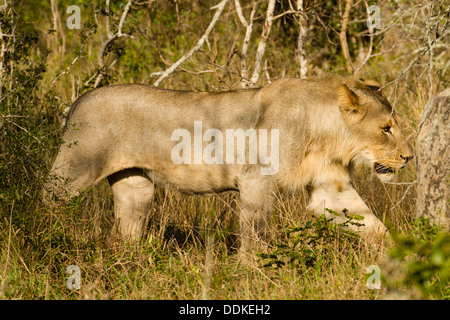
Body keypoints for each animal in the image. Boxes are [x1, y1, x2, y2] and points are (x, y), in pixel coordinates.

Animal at [44, 74, 414, 252]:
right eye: (386, 128)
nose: (409, 157)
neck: (327, 138)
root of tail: (81, 98)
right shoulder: (256, 182)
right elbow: (255, 236)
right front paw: (254, 272)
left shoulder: (330, 189)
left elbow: (374, 225)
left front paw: (405, 259)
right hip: (72, 173)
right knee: (43, 203)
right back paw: (38, 239)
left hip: (135, 185)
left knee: (125, 232)